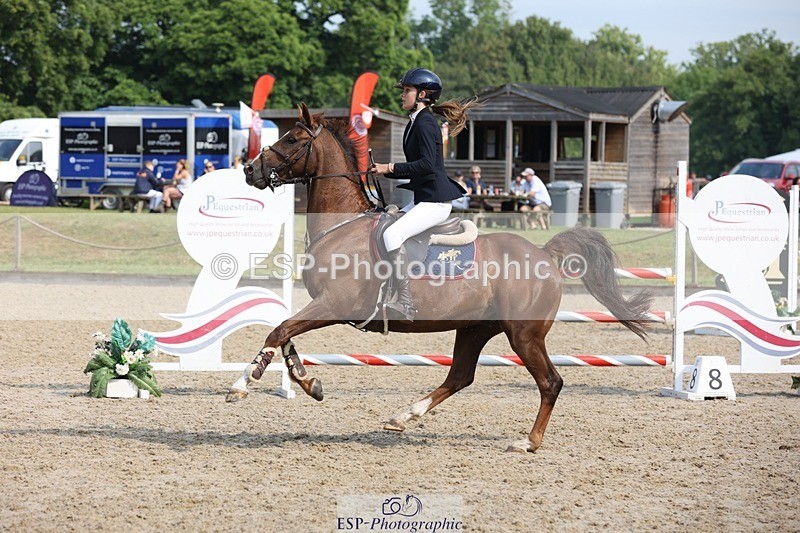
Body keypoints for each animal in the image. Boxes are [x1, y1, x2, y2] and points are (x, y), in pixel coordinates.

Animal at [227, 102, 653, 453]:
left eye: (292, 139)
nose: (249, 170)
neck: (342, 226)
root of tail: (545, 255)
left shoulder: (335, 304)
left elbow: (279, 331)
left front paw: (242, 384)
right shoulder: (324, 306)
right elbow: (285, 335)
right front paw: (306, 381)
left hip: (524, 334)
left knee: (550, 381)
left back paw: (528, 442)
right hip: (475, 328)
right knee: (461, 375)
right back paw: (404, 416)